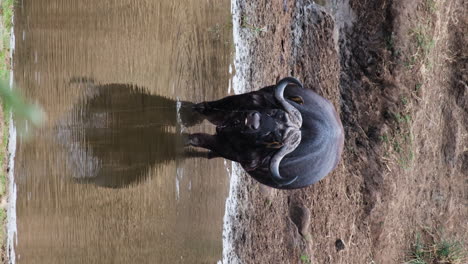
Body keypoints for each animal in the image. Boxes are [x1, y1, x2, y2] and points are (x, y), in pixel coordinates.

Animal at [186, 77, 344, 189]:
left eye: (274, 138)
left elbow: (201, 140)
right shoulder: (243, 100)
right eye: (275, 113)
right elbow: (208, 109)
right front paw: (193, 110)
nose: (252, 120)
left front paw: (187, 139)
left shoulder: (237, 153)